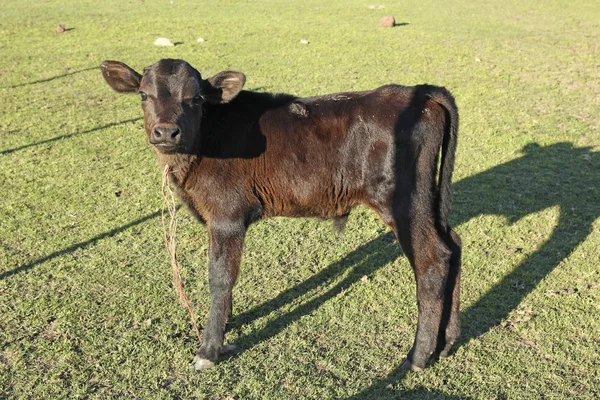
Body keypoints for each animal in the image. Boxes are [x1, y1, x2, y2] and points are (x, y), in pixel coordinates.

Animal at [101, 59, 462, 372]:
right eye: (143, 94)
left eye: (197, 98)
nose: (166, 132)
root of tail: (419, 91)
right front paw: (226, 323)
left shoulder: (227, 216)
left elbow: (220, 277)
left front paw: (209, 349)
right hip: (427, 200)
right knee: (453, 244)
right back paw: (446, 343)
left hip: (403, 201)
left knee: (433, 259)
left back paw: (418, 355)